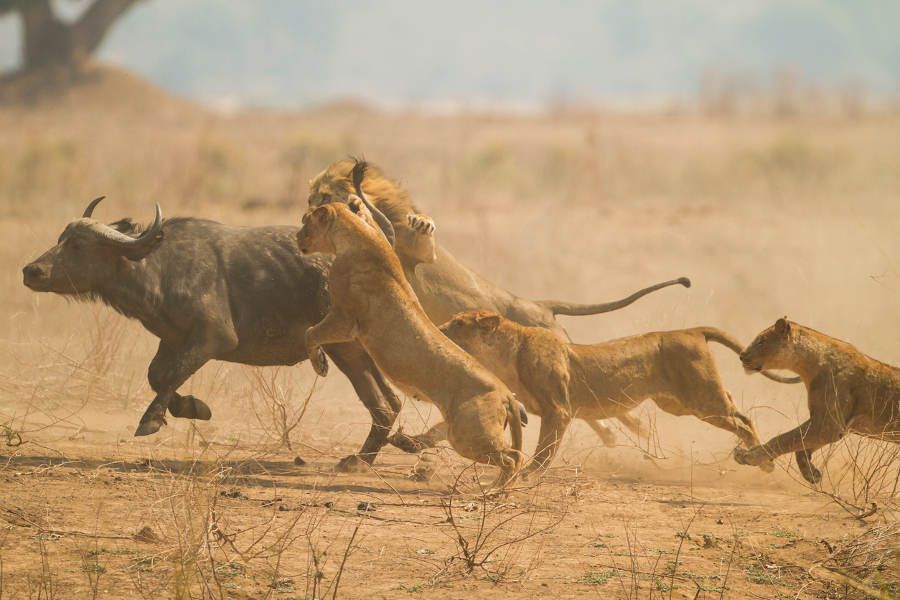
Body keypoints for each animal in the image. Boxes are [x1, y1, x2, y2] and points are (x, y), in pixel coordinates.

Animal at [296, 201, 525, 489]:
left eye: (306, 221)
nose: (296, 237)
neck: (357, 237)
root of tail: (506, 393)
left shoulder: (344, 318)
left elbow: (309, 333)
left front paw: (320, 365)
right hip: (462, 428)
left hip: (468, 434)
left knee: (513, 457)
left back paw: (493, 490)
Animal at [308, 157, 688, 448]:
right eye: (312, 196)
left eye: (322, 193)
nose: (311, 208)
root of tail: (540, 304)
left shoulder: (420, 258)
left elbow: (421, 241)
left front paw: (421, 223)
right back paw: (613, 435)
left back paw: (634, 429)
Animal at [395, 310, 801, 474]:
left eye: (457, 324)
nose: (436, 329)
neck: (506, 355)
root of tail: (690, 330)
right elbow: (440, 430)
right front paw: (411, 442)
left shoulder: (559, 410)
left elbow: (543, 451)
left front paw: (528, 476)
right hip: (677, 404)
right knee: (738, 413)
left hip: (701, 400)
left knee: (743, 418)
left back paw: (763, 462)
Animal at [734, 318, 900, 484]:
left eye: (761, 341)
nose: (742, 355)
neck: (808, 366)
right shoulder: (822, 422)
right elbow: (800, 446)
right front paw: (811, 473)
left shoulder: (828, 426)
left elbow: (784, 439)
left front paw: (748, 456)